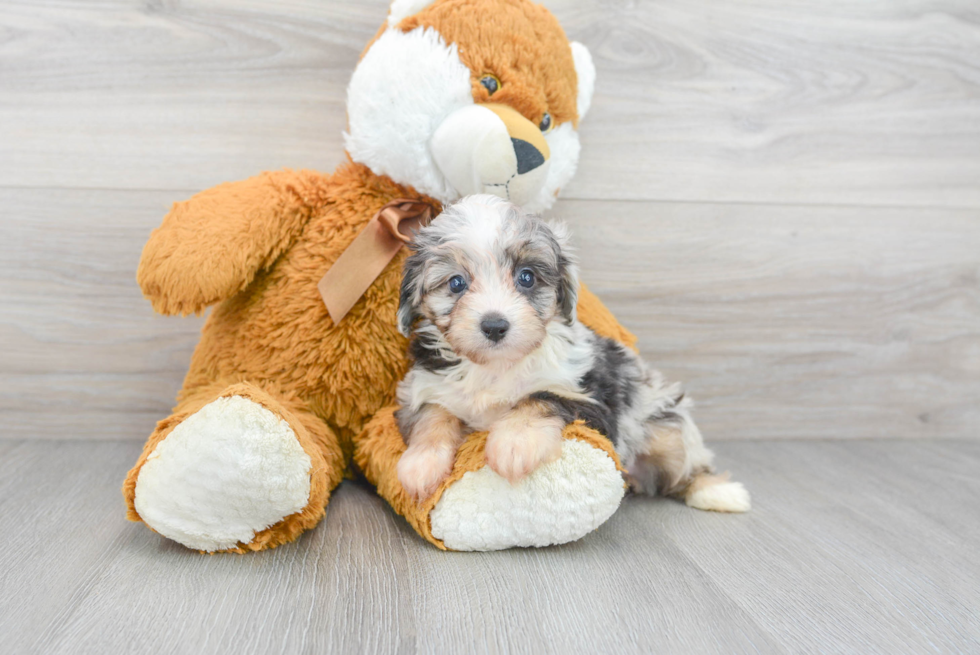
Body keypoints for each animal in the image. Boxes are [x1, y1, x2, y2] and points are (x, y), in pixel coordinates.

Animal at [394, 195, 748, 512]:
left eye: (526, 277)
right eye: (456, 283)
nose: (494, 326)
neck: (497, 367)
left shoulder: (588, 396)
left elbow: (538, 398)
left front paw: (514, 443)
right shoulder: (426, 385)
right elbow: (433, 415)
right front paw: (421, 464)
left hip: (665, 426)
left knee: (685, 467)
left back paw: (718, 492)